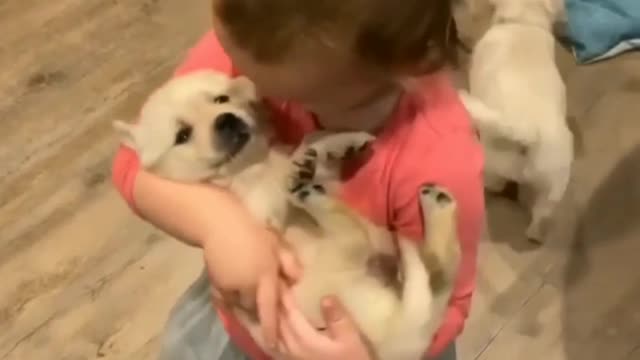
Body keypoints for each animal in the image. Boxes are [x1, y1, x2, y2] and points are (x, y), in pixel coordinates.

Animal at [458, 0, 572, 243]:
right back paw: (534, 235)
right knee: (540, 217)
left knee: (493, 183)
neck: (523, 22)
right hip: (552, 190)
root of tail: (531, 133)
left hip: (493, 164)